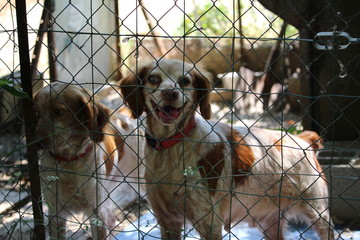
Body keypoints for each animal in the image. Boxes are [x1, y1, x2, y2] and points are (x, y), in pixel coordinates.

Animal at [34, 83, 145, 240]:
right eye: (36, 113)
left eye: (58, 111)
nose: (36, 142)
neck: (70, 162)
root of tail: (124, 115)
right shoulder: (56, 213)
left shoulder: (96, 213)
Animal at [119, 58, 334, 240]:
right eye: (153, 78)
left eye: (185, 80)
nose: (170, 93)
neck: (170, 147)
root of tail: (303, 140)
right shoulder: (168, 221)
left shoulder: (209, 224)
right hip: (270, 222)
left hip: (318, 213)